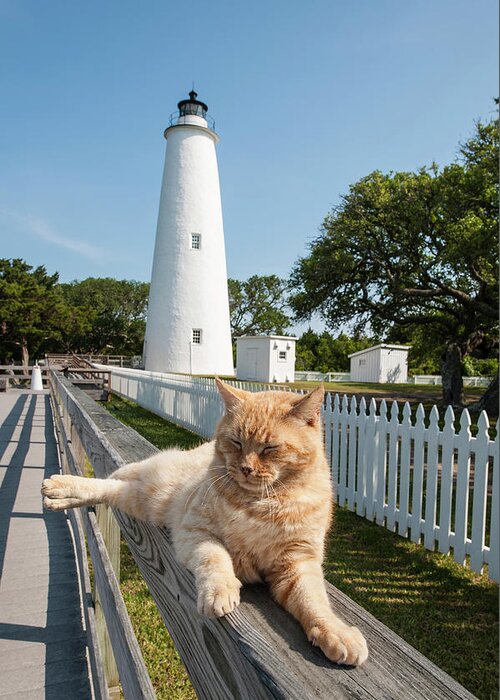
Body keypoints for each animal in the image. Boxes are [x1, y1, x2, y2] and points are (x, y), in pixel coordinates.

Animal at [42, 380, 368, 664]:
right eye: (236, 442)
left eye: (269, 448)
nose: (246, 468)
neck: (261, 503)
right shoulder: (195, 532)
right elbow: (215, 560)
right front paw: (219, 592)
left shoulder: (298, 562)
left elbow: (314, 601)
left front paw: (335, 632)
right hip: (150, 493)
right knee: (110, 481)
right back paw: (58, 487)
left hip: (141, 497)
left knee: (115, 486)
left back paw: (59, 496)